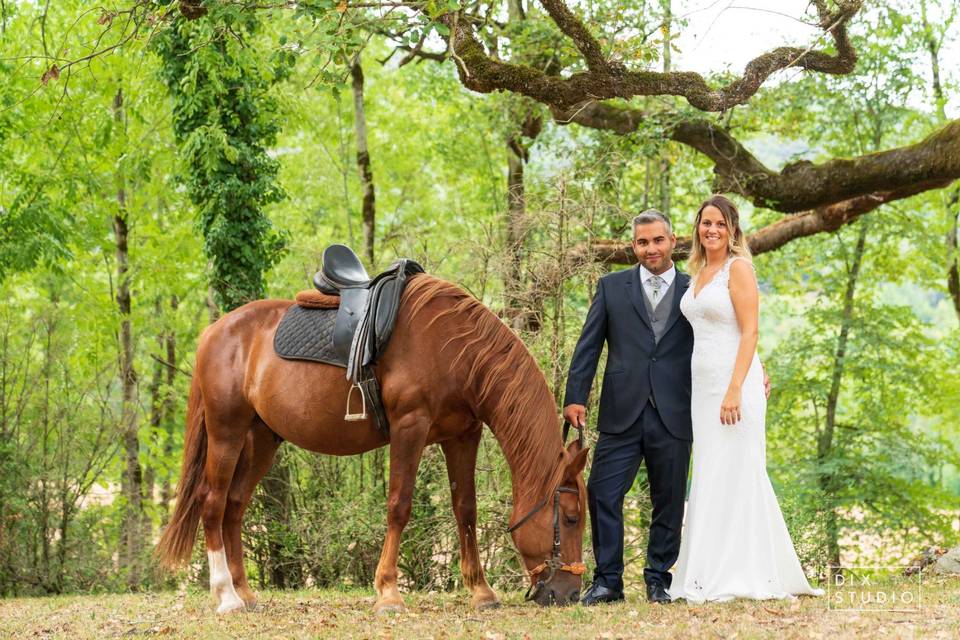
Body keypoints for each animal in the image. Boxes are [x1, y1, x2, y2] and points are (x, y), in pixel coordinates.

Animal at [156, 274, 592, 608]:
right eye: (571, 518)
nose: (571, 594)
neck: (456, 350)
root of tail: (214, 331)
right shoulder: (409, 428)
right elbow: (399, 505)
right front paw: (388, 593)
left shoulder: (463, 435)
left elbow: (465, 509)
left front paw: (481, 592)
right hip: (226, 434)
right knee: (212, 503)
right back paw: (226, 597)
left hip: (262, 440)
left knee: (234, 506)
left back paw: (246, 594)